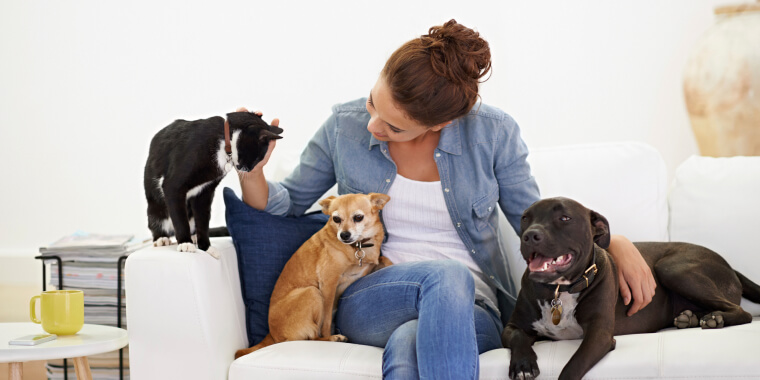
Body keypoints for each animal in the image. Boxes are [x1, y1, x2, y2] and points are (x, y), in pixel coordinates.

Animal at [143, 110, 282, 258]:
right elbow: (180, 218)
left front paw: (206, 247)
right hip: (156, 208)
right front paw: (185, 243)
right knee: (157, 220)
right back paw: (162, 238)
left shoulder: (205, 191)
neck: (224, 141)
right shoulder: (174, 185)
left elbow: (203, 220)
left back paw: (194, 237)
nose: (248, 170)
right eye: (257, 158)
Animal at [502, 197, 760, 378]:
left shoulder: (599, 335)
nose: (530, 235)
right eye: (525, 218)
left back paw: (716, 319)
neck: (558, 289)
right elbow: (518, 337)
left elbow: (572, 367)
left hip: (672, 268)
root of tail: (728, 265)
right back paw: (690, 319)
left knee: (743, 313)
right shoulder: (512, 327)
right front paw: (523, 365)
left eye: (565, 218)